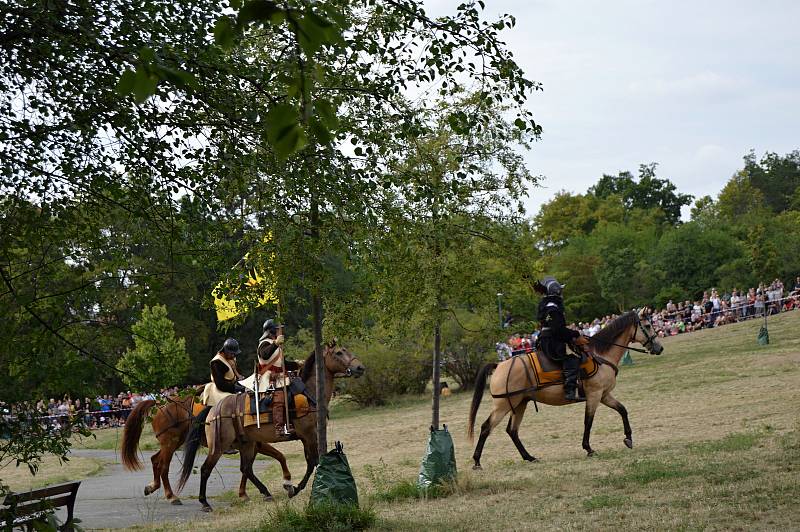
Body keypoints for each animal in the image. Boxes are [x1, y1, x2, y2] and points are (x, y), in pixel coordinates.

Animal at [119, 386, 294, 502]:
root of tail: (159, 404)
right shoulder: (256, 445)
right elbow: (260, 464)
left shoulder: (252, 446)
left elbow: (260, 464)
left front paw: (243, 493)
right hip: (170, 444)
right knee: (163, 466)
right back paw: (171, 496)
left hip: (172, 444)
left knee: (155, 460)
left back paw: (152, 486)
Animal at [179, 340, 366, 512]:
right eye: (339, 352)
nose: (360, 367)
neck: (309, 392)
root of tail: (213, 409)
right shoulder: (309, 435)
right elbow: (313, 462)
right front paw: (295, 488)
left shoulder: (307, 437)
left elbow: (311, 461)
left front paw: (293, 487)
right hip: (219, 446)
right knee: (206, 469)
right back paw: (204, 502)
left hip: (247, 444)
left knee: (246, 468)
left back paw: (265, 492)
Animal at [468, 310, 664, 468]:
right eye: (647, 325)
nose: (659, 348)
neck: (600, 356)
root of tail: (499, 365)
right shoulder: (594, 395)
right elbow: (588, 421)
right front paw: (588, 448)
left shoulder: (604, 395)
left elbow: (622, 410)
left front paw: (628, 438)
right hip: (503, 406)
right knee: (486, 427)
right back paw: (477, 461)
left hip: (519, 404)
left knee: (512, 431)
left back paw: (529, 457)